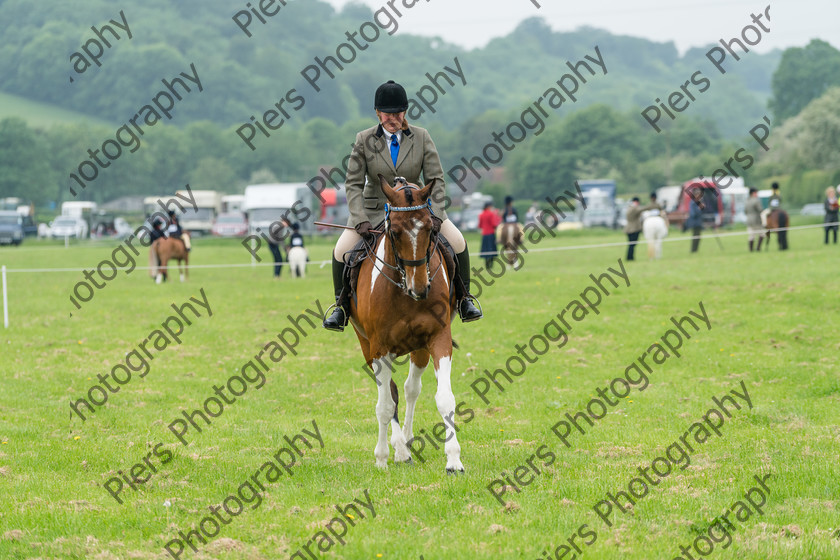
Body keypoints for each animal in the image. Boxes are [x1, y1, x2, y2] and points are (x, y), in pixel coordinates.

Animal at [350, 174, 466, 472]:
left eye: (430, 229)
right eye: (394, 232)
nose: (420, 289)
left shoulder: (438, 338)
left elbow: (445, 398)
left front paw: (454, 460)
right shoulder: (379, 349)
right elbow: (384, 405)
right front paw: (381, 458)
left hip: (419, 348)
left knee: (410, 389)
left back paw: (406, 442)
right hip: (366, 345)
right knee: (389, 395)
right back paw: (399, 449)